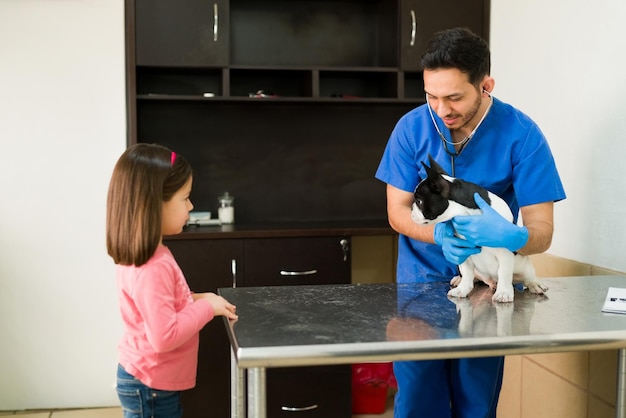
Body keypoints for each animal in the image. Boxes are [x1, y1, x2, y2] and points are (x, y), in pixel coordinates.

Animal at [410, 157, 544, 304]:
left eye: (419, 201)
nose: (411, 208)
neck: (466, 212)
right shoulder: (461, 250)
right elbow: (467, 271)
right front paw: (463, 289)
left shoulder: (505, 252)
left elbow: (504, 272)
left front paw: (503, 293)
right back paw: (460, 280)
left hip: (525, 267)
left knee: (528, 276)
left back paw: (535, 284)